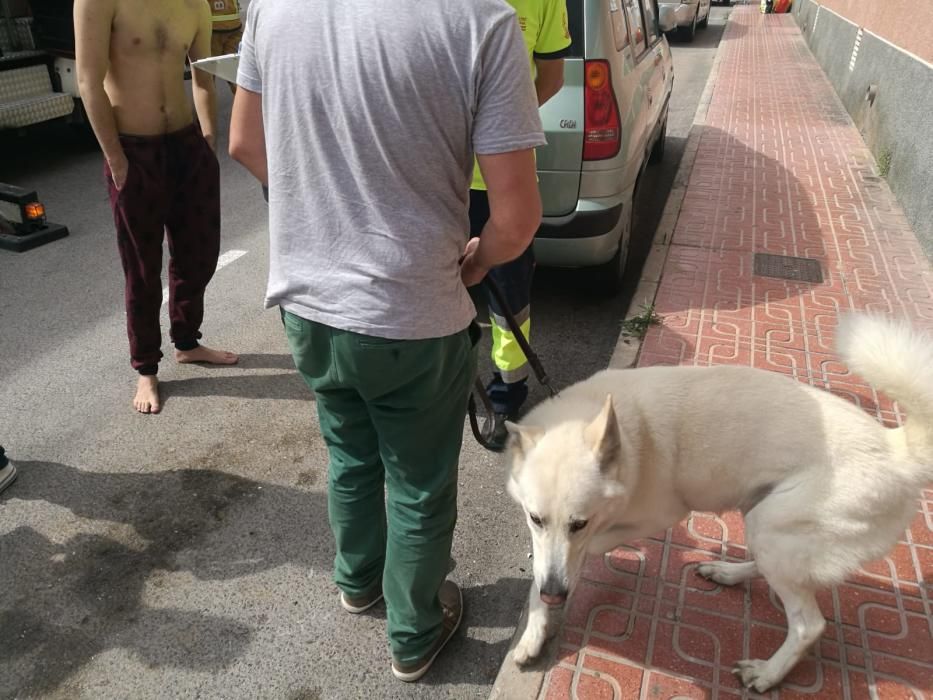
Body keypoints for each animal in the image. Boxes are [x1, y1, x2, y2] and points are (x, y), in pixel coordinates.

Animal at [506, 314, 928, 692]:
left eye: (580, 523)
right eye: (535, 518)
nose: (555, 594)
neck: (628, 438)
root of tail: (897, 450)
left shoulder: (658, 516)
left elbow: (579, 556)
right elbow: (542, 569)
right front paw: (533, 633)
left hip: (773, 526)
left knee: (809, 624)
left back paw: (767, 674)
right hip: (763, 519)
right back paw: (726, 573)